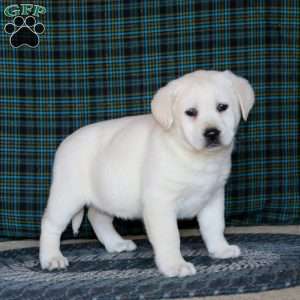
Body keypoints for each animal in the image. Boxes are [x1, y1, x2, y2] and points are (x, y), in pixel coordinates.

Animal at [39, 69, 255, 276]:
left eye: (222, 107)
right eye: (191, 112)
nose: (211, 133)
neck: (194, 156)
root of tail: (65, 142)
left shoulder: (212, 198)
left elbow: (214, 226)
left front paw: (221, 249)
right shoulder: (160, 203)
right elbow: (170, 237)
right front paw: (175, 265)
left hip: (107, 196)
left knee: (96, 217)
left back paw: (116, 244)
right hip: (66, 197)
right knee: (50, 224)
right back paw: (51, 258)